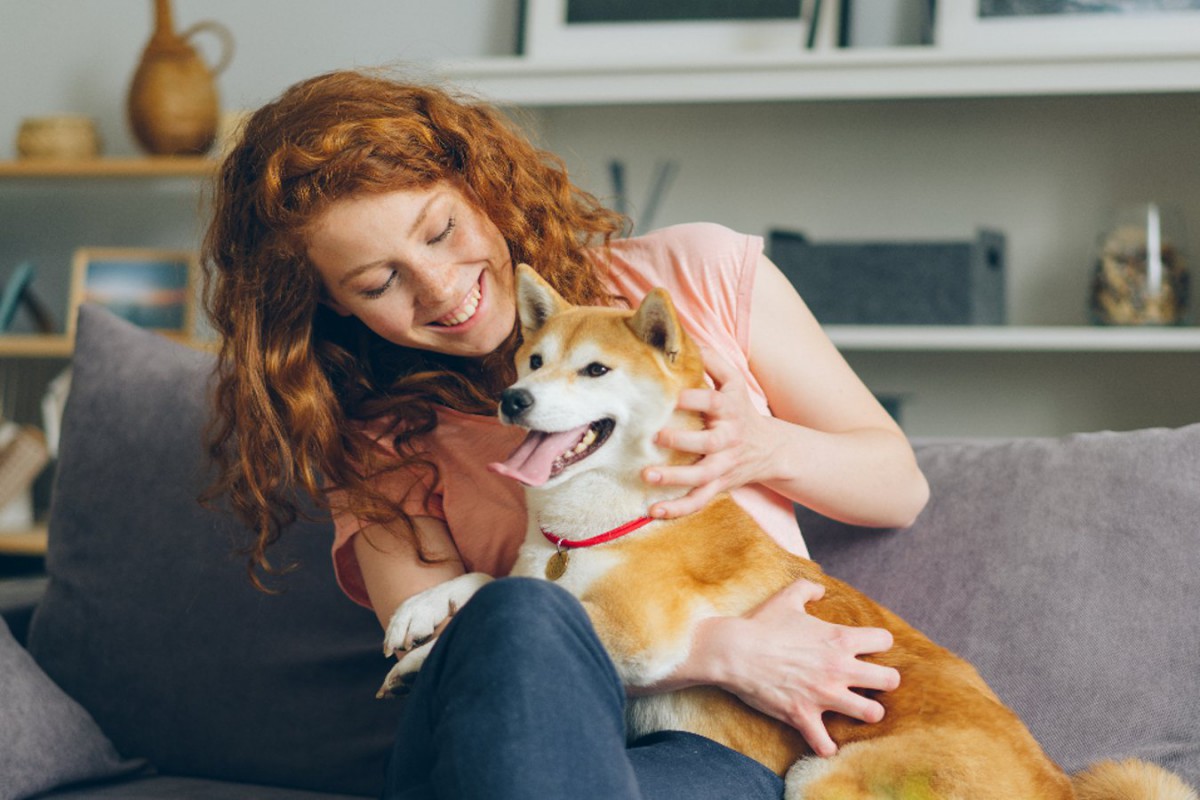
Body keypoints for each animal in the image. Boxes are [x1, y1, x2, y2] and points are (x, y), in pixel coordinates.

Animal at [379, 263, 1195, 800]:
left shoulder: (638, 630)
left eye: (596, 370)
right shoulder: (540, 565)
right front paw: (421, 611)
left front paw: (425, 655)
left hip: (821, 774)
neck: (602, 526)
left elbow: (517, 603)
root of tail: (1061, 787)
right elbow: (494, 579)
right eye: (534, 360)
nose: (514, 400)